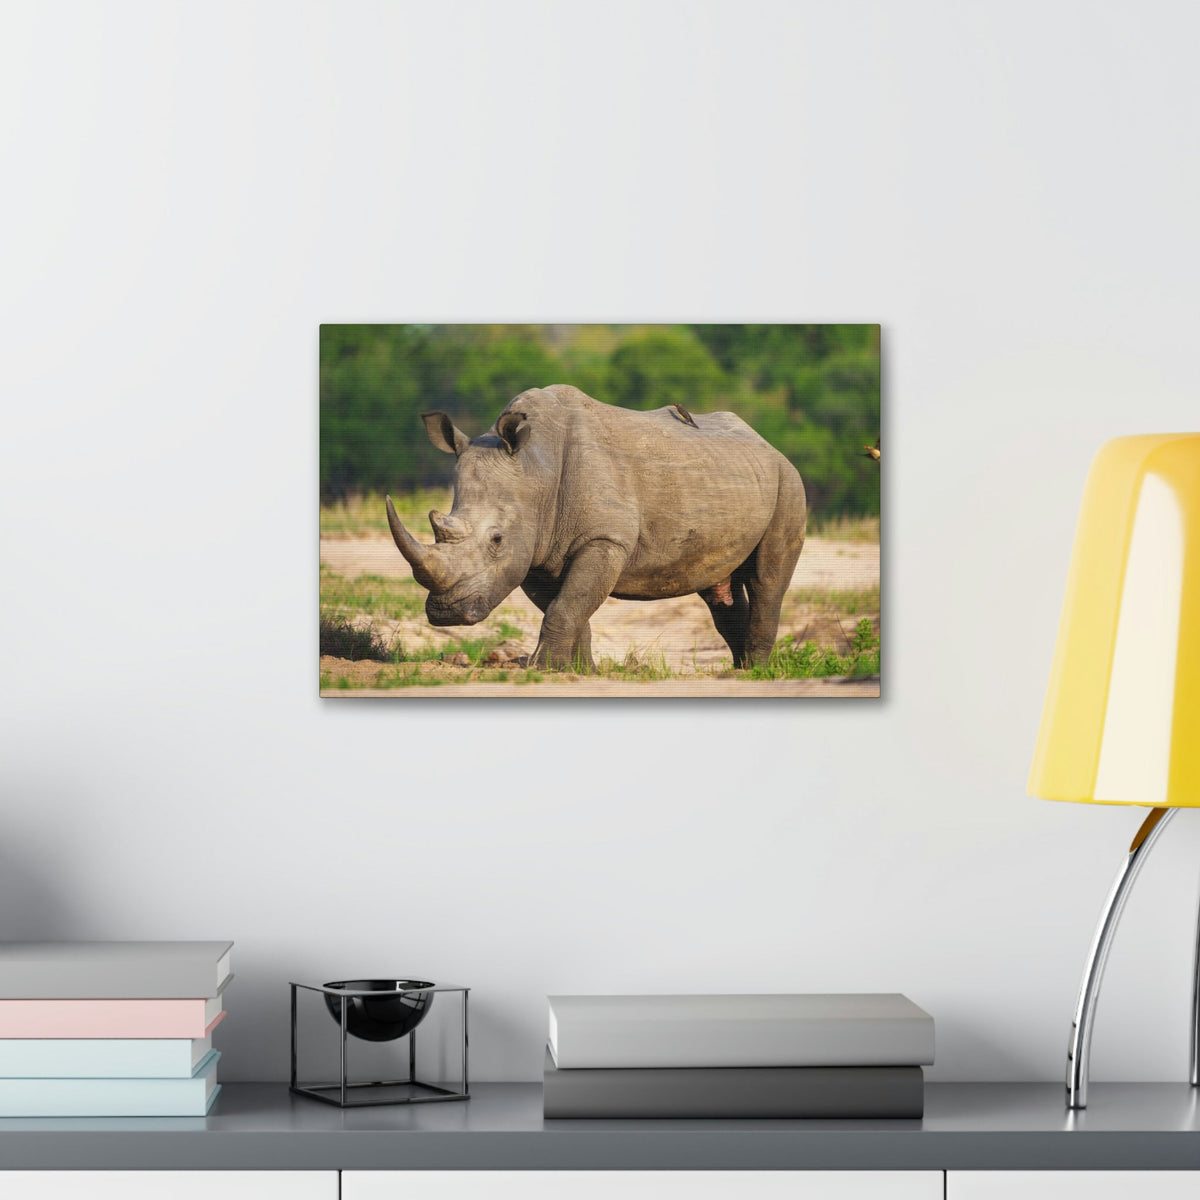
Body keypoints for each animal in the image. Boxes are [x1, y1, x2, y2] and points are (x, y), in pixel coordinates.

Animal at [385, 385, 806, 670]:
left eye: (497, 539)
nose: (446, 613)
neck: (535, 468)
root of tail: (766, 443)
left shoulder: (604, 540)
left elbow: (566, 606)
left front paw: (542, 669)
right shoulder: (536, 551)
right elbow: (568, 607)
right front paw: (575, 671)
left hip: (788, 481)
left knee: (767, 581)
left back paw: (756, 673)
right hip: (729, 477)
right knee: (719, 590)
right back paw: (739, 671)